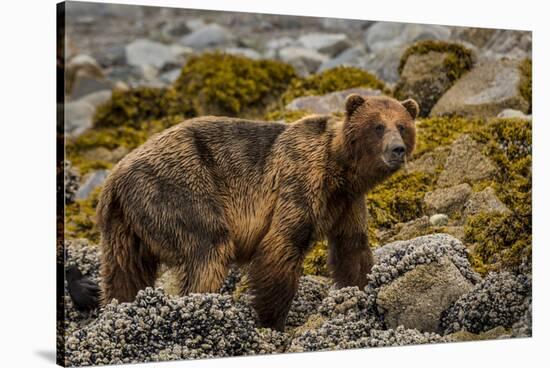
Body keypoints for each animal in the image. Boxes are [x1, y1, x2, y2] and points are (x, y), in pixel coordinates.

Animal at [85, 94, 418, 330]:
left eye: (402, 126)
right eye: (377, 126)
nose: (397, 149)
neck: (339, 170)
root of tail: (114, 178)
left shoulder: (347, 204)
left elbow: (353, 250)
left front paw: (363, 291)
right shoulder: (299, 184)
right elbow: (281, 246)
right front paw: (270, 319)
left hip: (124, 225)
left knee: (125, 272)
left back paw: (118, 307)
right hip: (179, 189)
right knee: (208, 249)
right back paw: (199, 304)